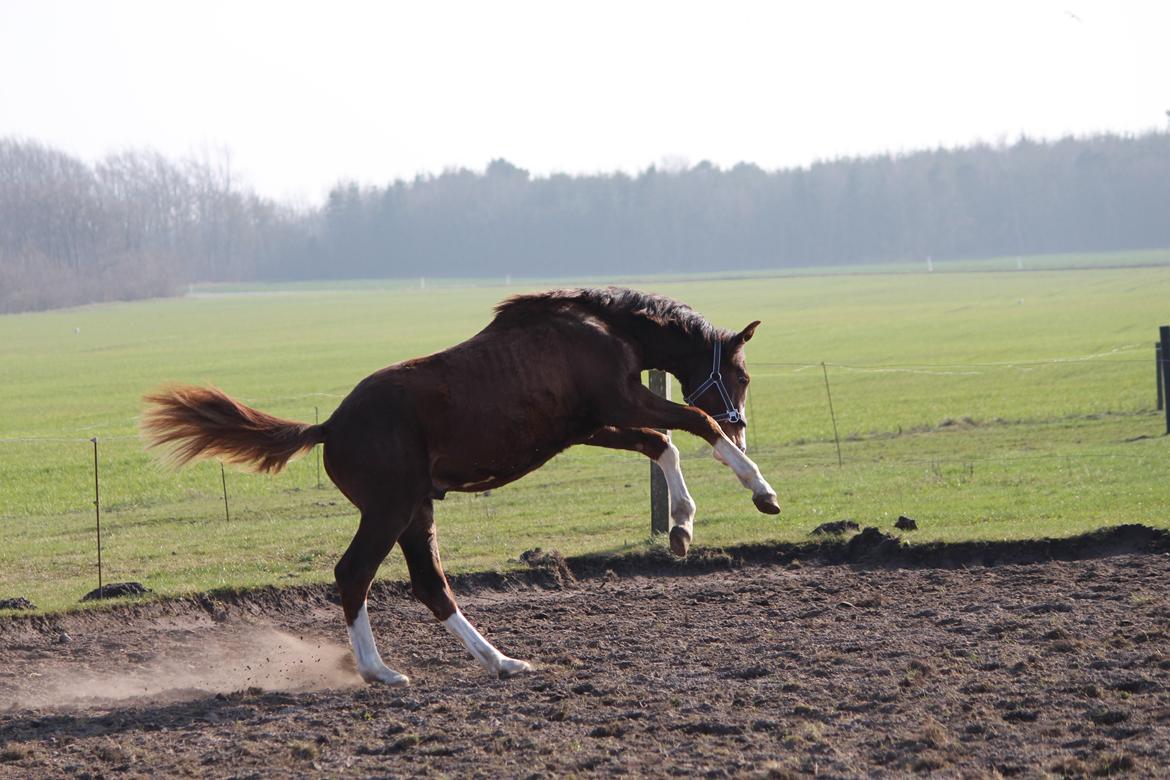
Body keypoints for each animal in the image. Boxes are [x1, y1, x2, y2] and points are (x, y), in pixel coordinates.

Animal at [141, 290, 776, 687]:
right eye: (742, 374)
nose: (745, 427)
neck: (601, 328)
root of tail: (330, 427)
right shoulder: (619, 402)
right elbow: (696, 423)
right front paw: (759, 491)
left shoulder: (592, 423)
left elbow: (662, 444)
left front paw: (681, 527)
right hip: (390, 510)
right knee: (355, 574)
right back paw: (379, 671)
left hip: (417, 511)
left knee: (430, 586)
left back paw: (502, 662)